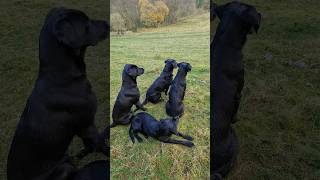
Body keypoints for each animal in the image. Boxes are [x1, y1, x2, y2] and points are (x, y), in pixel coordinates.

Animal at [6, 7, 109, 180]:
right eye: (86, 22)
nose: (108, 23)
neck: (62, 78)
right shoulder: (87, 126)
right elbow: (101, 144)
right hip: (63, 168)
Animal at [211, 1, 262, 178]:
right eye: (255, 11)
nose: (261, 14)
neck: (225, 43)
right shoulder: (239, 93)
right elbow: (235, 111)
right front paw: (236, 118)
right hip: (234, 139)